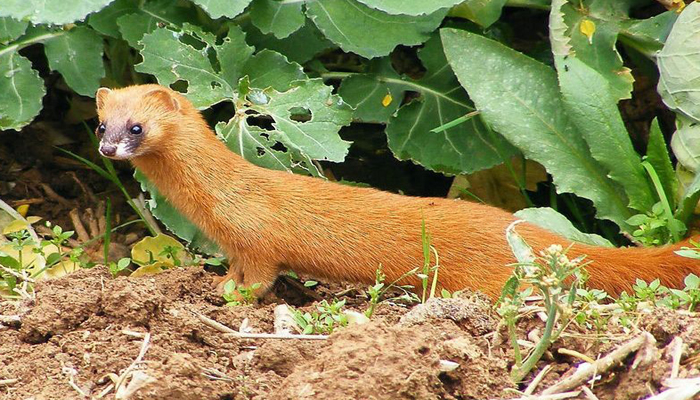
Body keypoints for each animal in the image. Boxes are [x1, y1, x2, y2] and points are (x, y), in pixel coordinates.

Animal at [94, 83, 700, 296]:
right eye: (103, 123)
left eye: (137, 127)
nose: (107, 149)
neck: (217, 203)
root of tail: (524, 228)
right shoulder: (236, 245)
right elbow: (238, 270)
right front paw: (220, 284)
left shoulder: (258, 238)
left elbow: (262, 279)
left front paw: (234, 299)